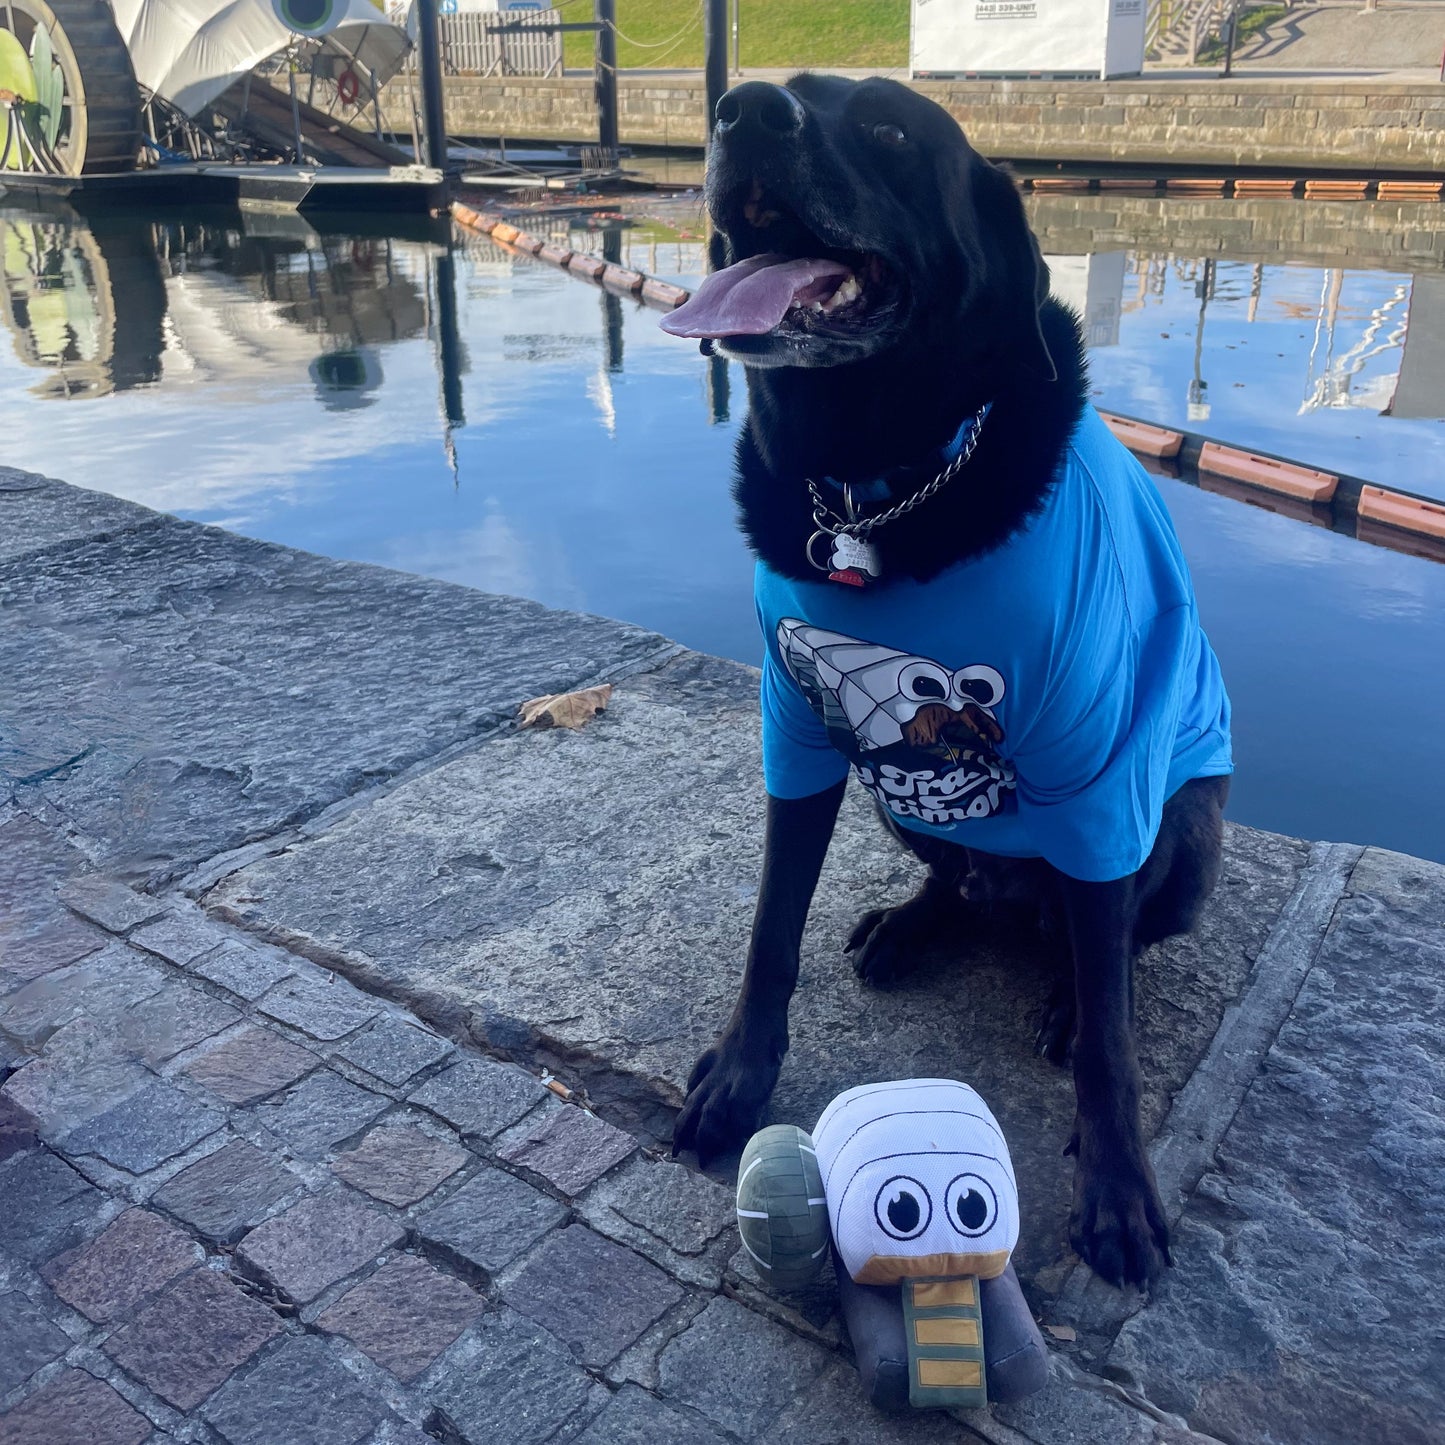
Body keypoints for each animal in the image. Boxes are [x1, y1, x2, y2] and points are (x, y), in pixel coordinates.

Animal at [664, 73, 1231, 1288]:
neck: (876, 484)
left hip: (1184, 827)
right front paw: (738, 1077)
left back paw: (1066, 991)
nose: (741, 108)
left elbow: (1114, 1045)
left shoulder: (1100, 770)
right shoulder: (796, 733)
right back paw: (912, 923)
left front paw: (1116, 1189)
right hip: (907, 812)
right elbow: (770, 927)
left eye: (886, 128)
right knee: (962, 883)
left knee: (1109, 943)